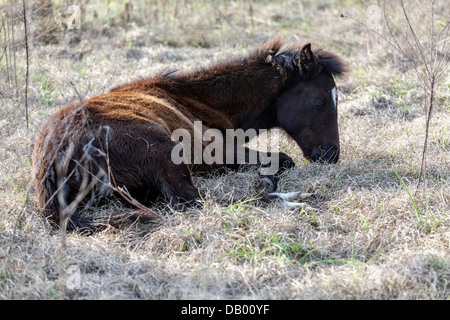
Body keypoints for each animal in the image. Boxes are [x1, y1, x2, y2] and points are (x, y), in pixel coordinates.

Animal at [31, 37, 350, 230]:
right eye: (320, 101)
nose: (331, 155)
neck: (193, 98)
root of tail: (51, 158)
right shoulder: (218, 152)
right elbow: (283, 160)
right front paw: (270, 182)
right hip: (165, 153)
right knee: (194, 203)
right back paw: (291, 199)